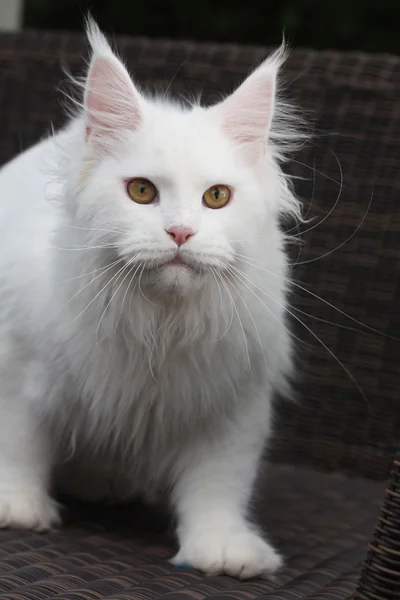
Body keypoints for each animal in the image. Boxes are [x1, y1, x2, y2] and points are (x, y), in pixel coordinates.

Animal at [0, 21, 302, 580]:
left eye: (216, 197)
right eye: (141, 191)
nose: (180, 232)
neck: (159, 327)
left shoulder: (234, 404)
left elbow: (219, 486)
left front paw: (223, 551)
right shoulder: (18, 368)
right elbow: (18, 444)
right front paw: (17, 508)